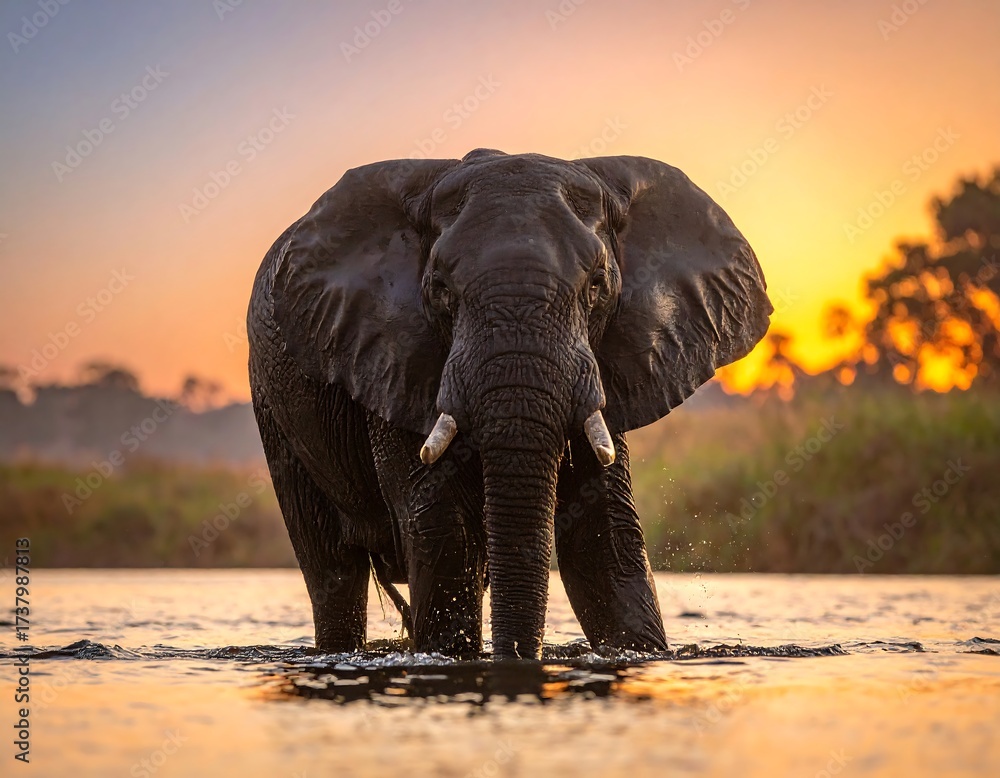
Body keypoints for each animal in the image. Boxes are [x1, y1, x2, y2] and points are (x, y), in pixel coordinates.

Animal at [247, 149, 771, 660]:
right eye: (440, 288)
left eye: (597, 285)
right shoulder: (391, 356)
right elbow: (444, 530)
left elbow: (603, 535)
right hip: (272, 407)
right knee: (332, 571)